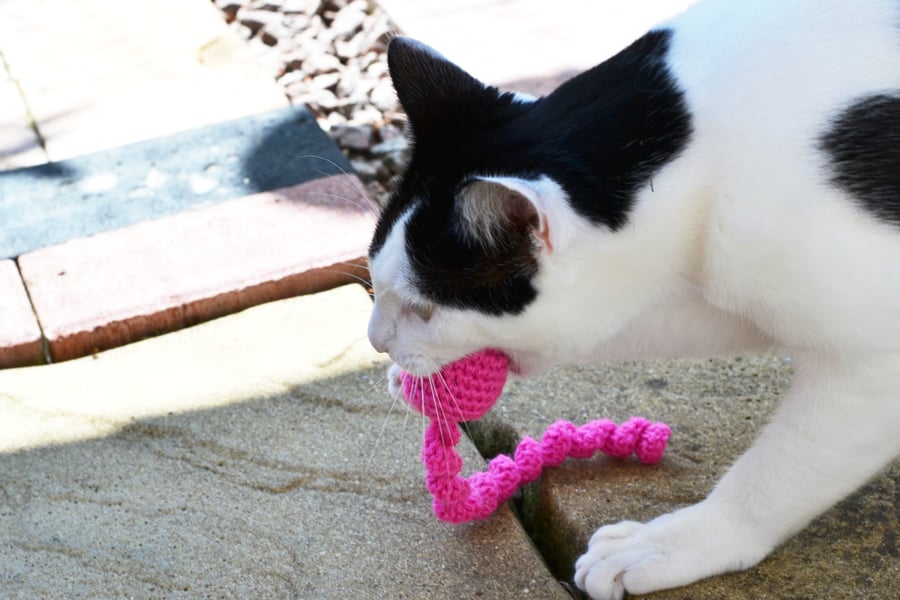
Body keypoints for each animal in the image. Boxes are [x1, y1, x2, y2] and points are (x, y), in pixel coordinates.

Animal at [364, 0, 900, 596]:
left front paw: (683, 539)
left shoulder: (874, 359)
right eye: (374, 275)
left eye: (426, 308)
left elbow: (780, 470)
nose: (376, 339)